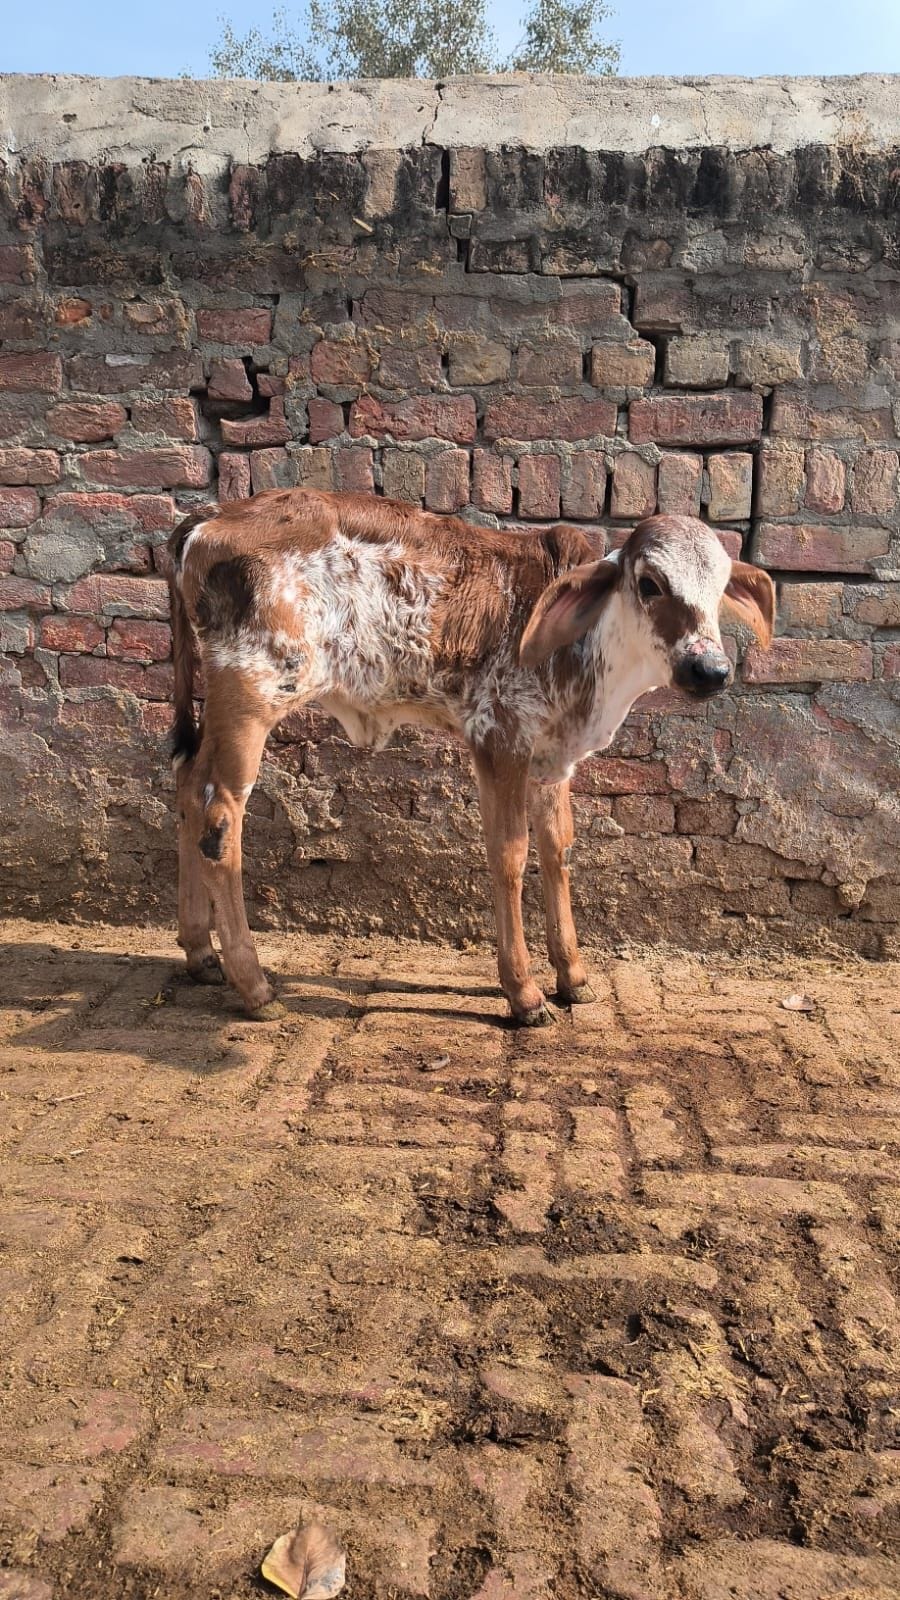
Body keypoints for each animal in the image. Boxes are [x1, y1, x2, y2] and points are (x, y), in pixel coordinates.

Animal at [167, 491, 774, 1024]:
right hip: (252, 697)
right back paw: (255, 987)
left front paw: (572, 976)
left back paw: (200, 953)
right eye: (650, 583)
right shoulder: (498, 737)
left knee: (188, 787)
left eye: (720, 587)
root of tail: (210, 518)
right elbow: (509, 854)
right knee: (220, 818)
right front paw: (523, 993)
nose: (710, 669)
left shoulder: (552, 757)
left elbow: (557, 848)